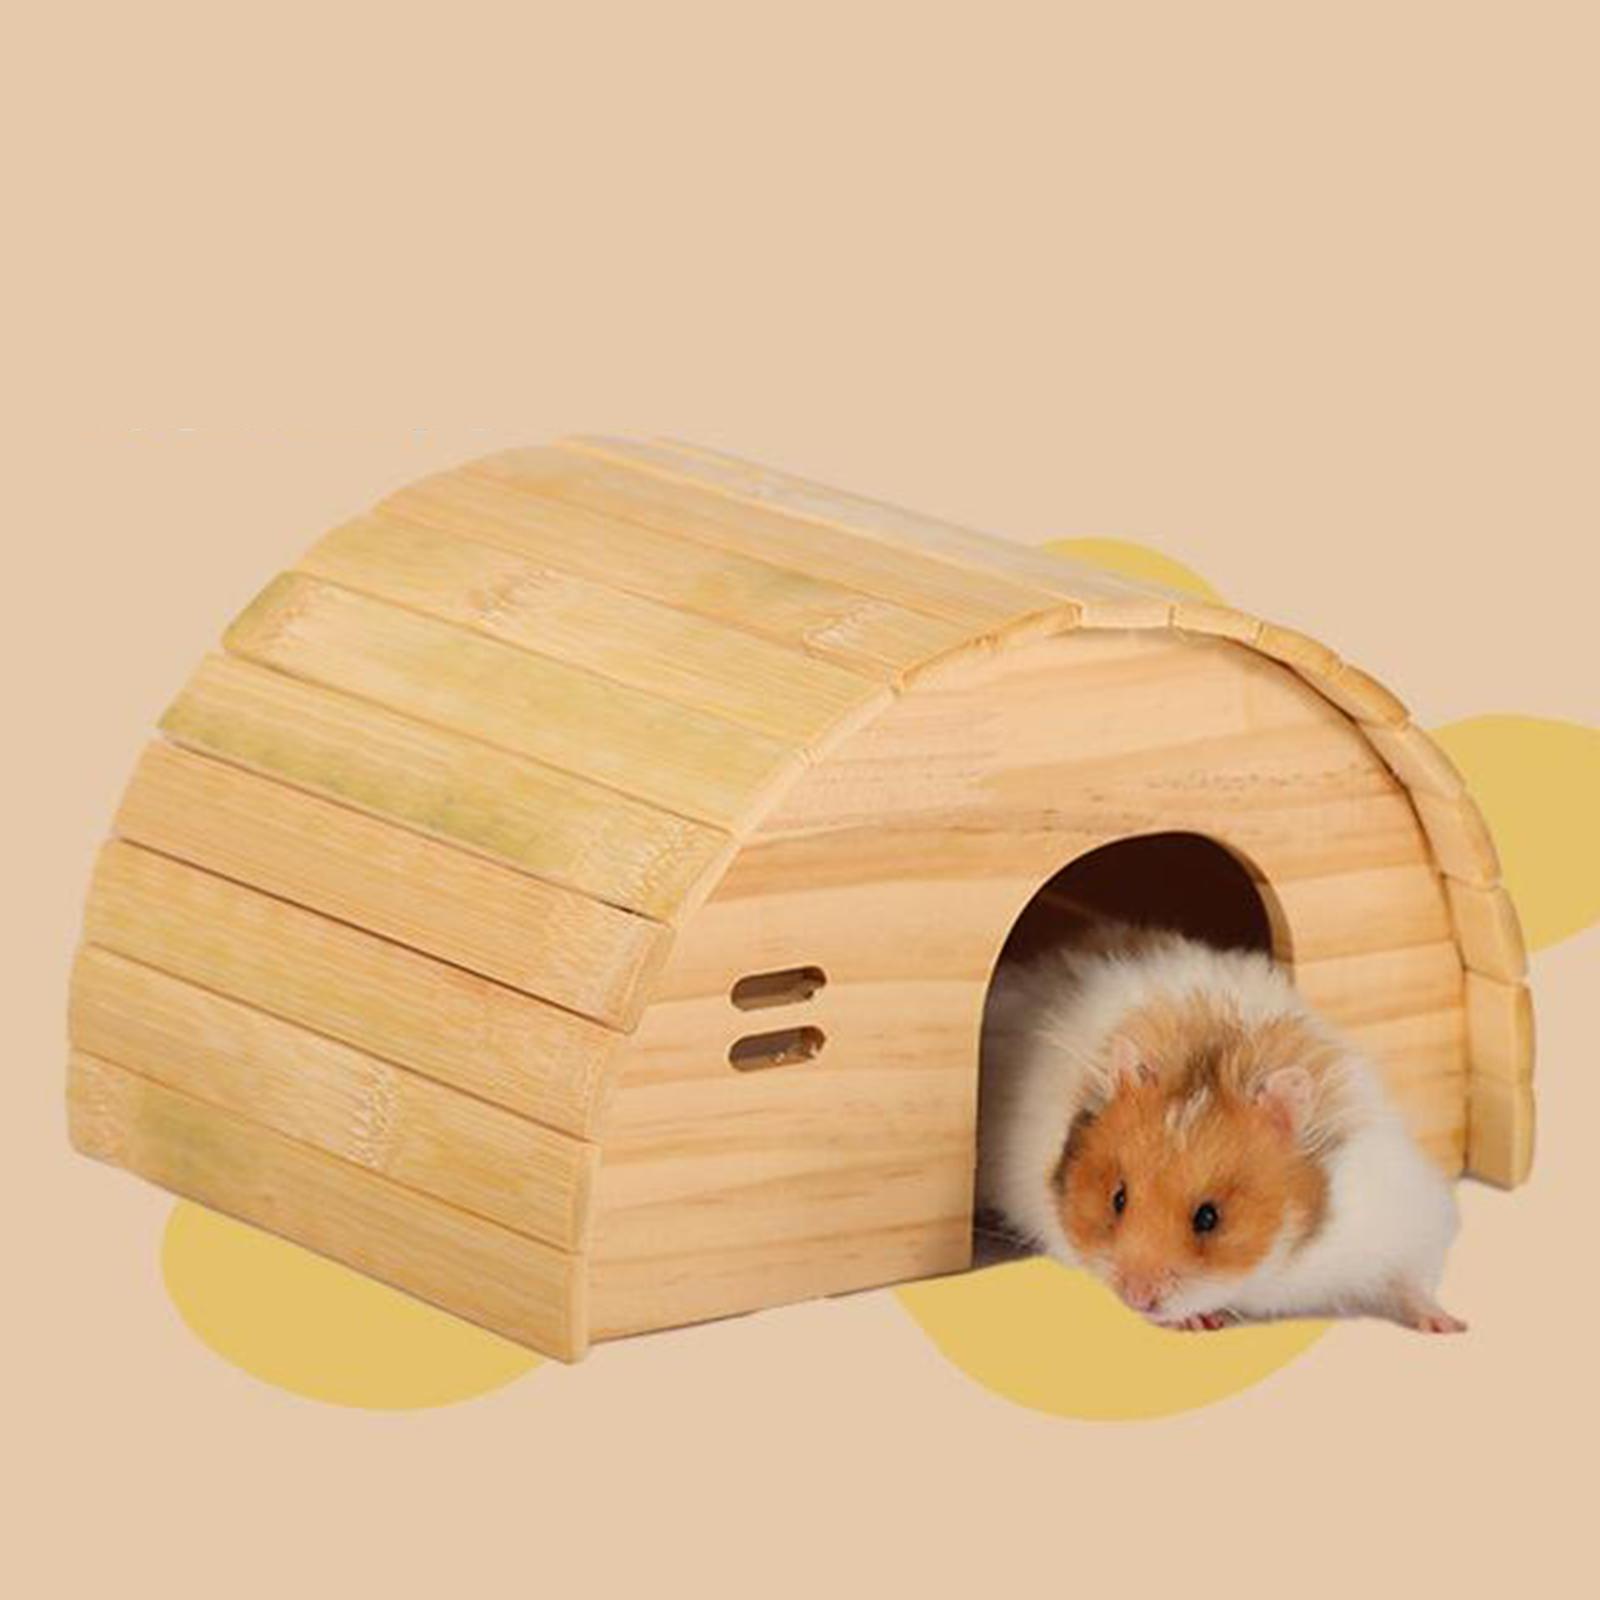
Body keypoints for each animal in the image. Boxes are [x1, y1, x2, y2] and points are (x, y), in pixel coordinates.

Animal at [976, 919, 1465, 1332]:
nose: (1137, 1298)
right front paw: (1198, 1320)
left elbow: (1410, 1279)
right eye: (1118, 1198)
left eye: (1209, 1218)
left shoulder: (1399, 1214)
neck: (1271, 1269)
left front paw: (1449, 1326)